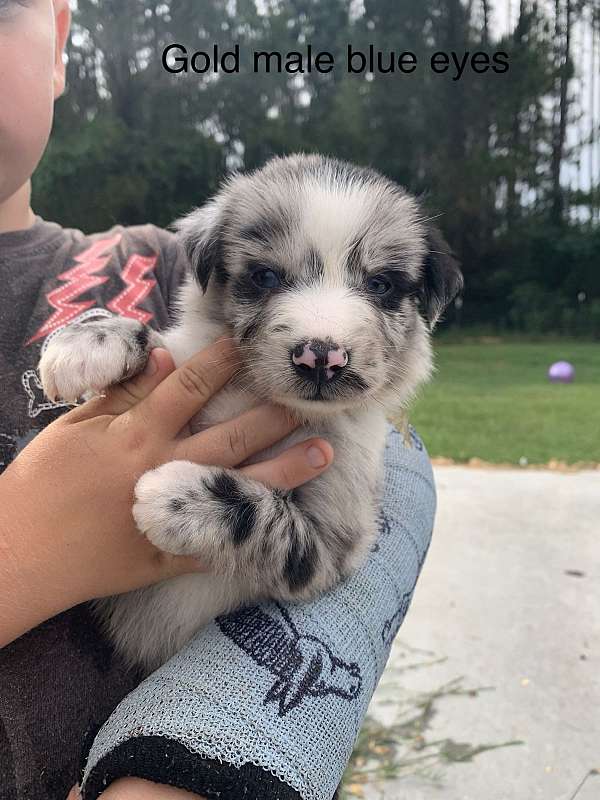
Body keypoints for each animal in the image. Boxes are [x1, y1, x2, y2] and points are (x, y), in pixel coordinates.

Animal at [39, 155, 462, 668]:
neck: (259, 398)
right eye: (265, 277)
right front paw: (89, 342)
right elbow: (158, 346)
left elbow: (266, 520)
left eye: (380, 285)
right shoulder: (185, 362)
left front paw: (177, 499)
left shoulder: (332, 547)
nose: (321, 357)